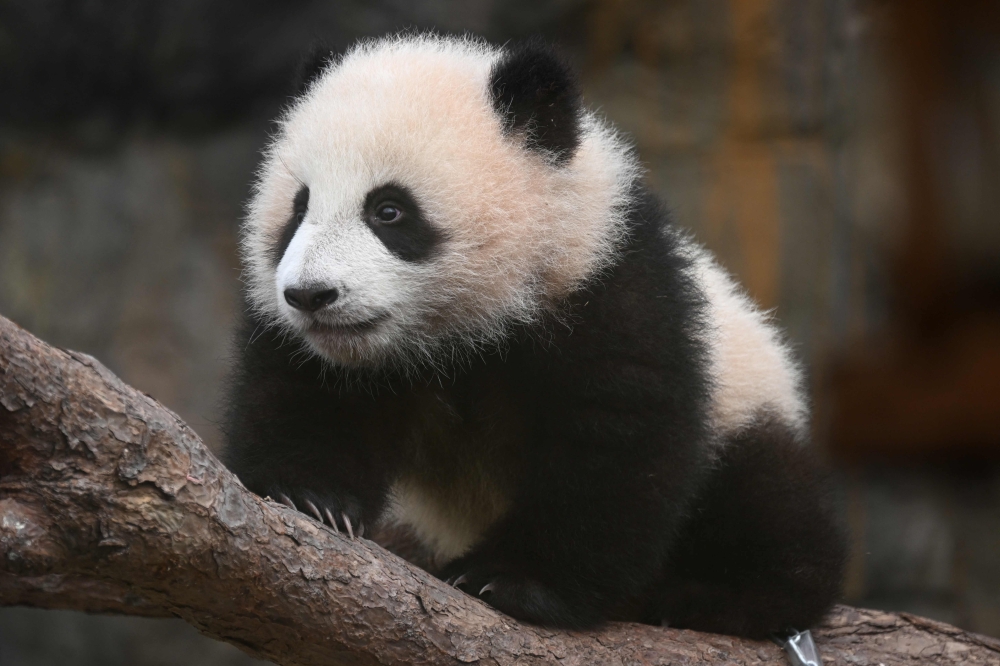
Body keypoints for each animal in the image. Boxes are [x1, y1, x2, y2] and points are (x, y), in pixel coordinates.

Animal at [223, 33, 846, 638]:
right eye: (299, 207)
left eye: (389, 210)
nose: (311, 295)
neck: (463, 330)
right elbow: (307, 396)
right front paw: (310, 498)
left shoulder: (606, 288)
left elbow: (612, 445)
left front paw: (511, 581)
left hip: (745, 405)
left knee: (767, 502)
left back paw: (714, 596)